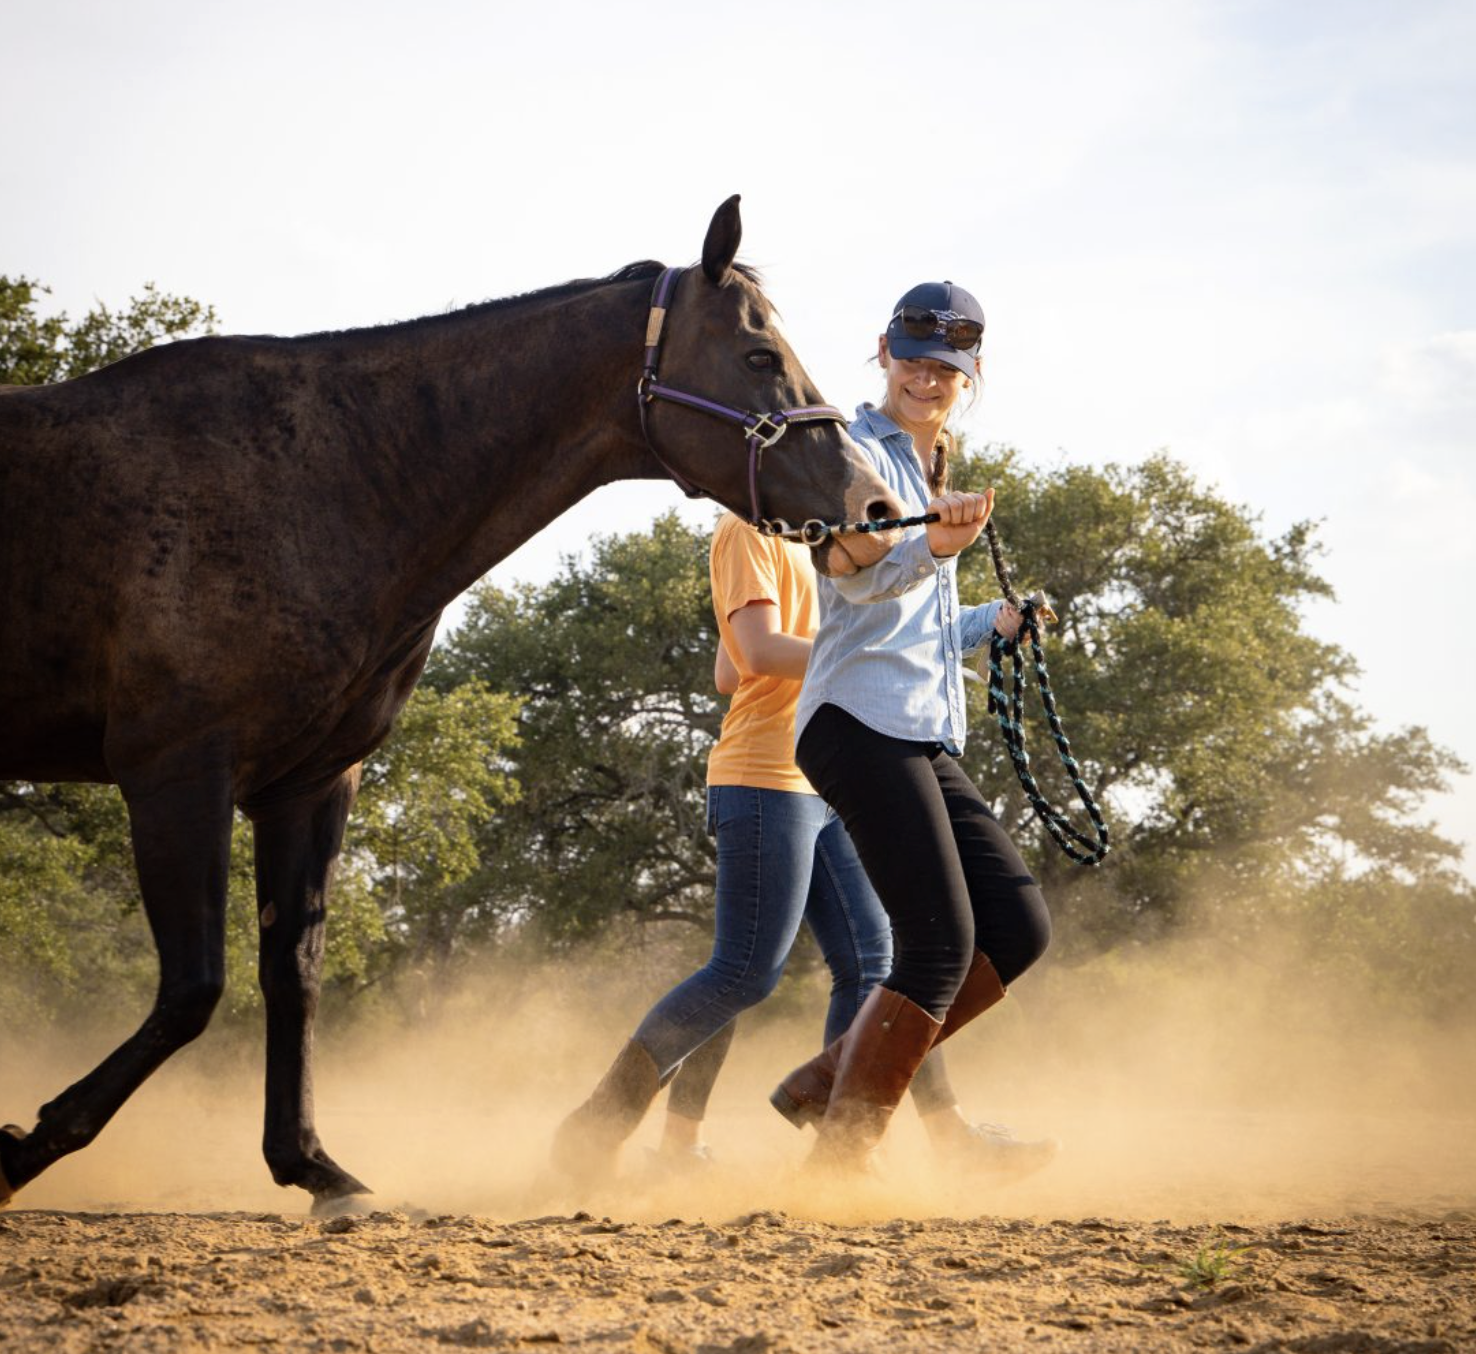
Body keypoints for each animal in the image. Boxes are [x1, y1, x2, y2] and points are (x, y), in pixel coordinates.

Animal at [0, 196, 903, 1210]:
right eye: (757, 357)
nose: (873, 508)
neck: (326, 482)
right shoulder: (176, 774)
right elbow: (193, 989)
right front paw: (22, 1148)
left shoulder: (311, 784)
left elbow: (293, 972)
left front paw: (312, 1166)